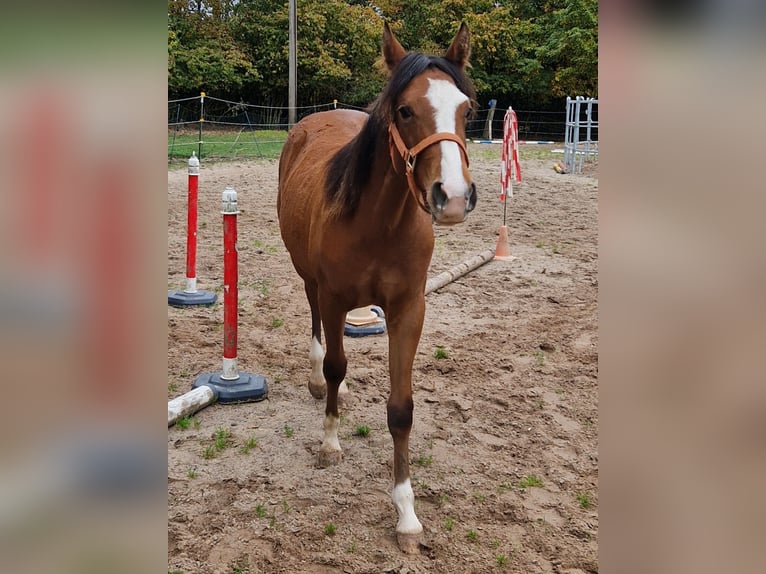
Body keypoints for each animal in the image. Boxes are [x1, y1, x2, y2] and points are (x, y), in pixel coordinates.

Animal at [277, 22, 476, 554]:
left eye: (467, 109)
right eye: (404, 110)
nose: (452, 198)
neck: (379, 222)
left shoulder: (408, 310)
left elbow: (401, 409)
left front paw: (406, 513)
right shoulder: (334, 299)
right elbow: (335, 364)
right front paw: (329, 442)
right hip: (310, 281)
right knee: (317, 333)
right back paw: (317, 383)